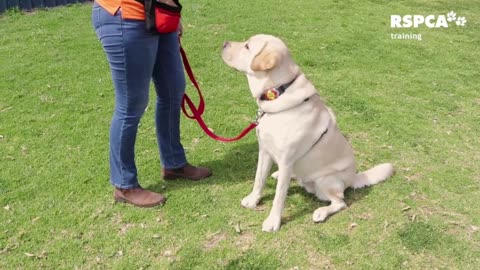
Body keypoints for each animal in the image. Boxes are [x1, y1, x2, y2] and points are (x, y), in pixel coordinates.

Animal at [221, 33, 394, 232]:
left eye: (248, 46)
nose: (224, 43)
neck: (279, 91)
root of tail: (353, 178)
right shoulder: (264, 150)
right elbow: (259, 179)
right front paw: (252, 200)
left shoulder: (287, 160)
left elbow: (279, 197)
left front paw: (273, 222)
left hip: (326, 181)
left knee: (340, 202)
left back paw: (321, 212)